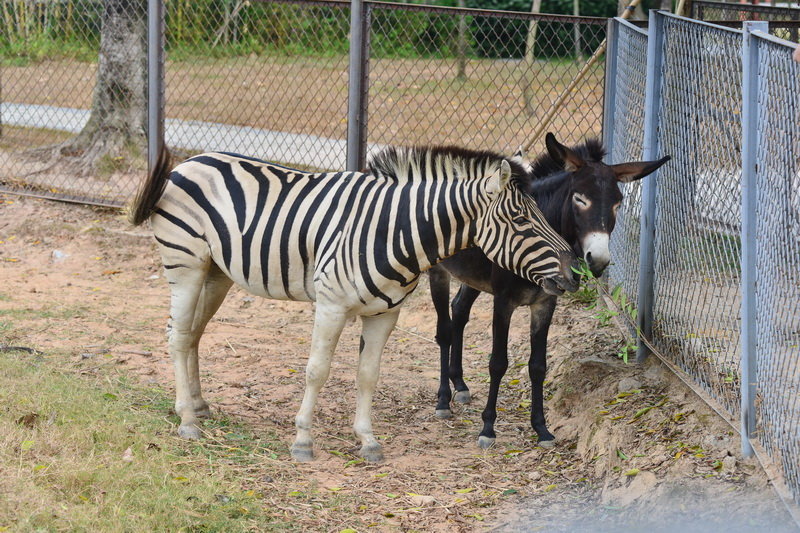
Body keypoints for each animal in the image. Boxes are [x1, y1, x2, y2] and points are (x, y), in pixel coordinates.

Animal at [128, 143, 580, 460]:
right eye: (521, 221)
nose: (574, 276)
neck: (393, 232)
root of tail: (190, 162)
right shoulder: (331, 305)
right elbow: (316, 371)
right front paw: (303, 441)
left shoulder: (386, 314)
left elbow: (367, 376)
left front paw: (368, 440)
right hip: (185, 263)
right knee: (177, 335)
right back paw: (188, 421)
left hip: (216, 273)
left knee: (191, 334)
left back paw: (197, 406)